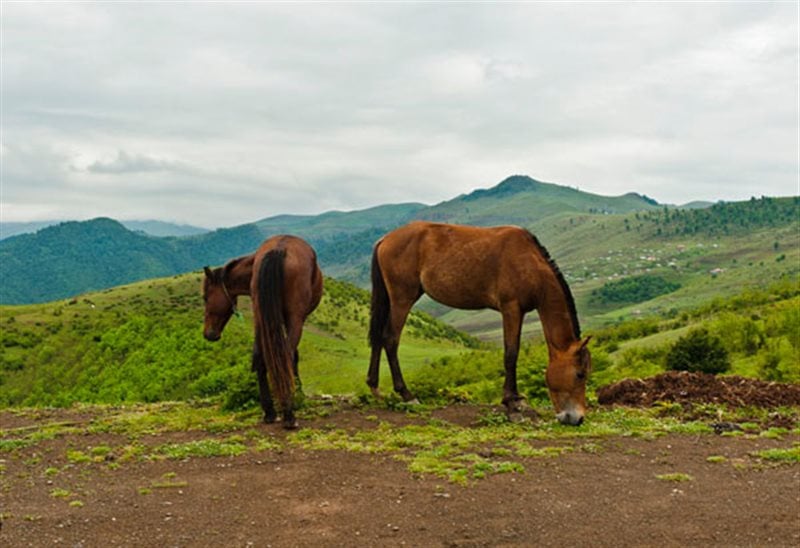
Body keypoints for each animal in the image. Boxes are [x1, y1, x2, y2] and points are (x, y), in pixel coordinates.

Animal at [202, 235, 324, 428]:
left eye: (205, 297)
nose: (208, 334)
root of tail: (278, 250)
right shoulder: (295, 320)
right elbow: (294, 356)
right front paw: (299, 391)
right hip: (293, 319)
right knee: (285, 356)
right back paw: (288, 413)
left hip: (261, 320)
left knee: (260, 357)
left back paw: (269, 412)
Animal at [368, 220, 588, 426]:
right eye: (579, 374)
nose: (577, 419)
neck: (530, 263)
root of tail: (385, 239)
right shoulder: (511, 308)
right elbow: (511, 353)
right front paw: (510, 404)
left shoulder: (520, 312)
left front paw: (517, 400)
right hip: (402, 299)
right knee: (390, 339)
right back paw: (406, 394)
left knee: (378, 337)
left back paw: (374, 387)